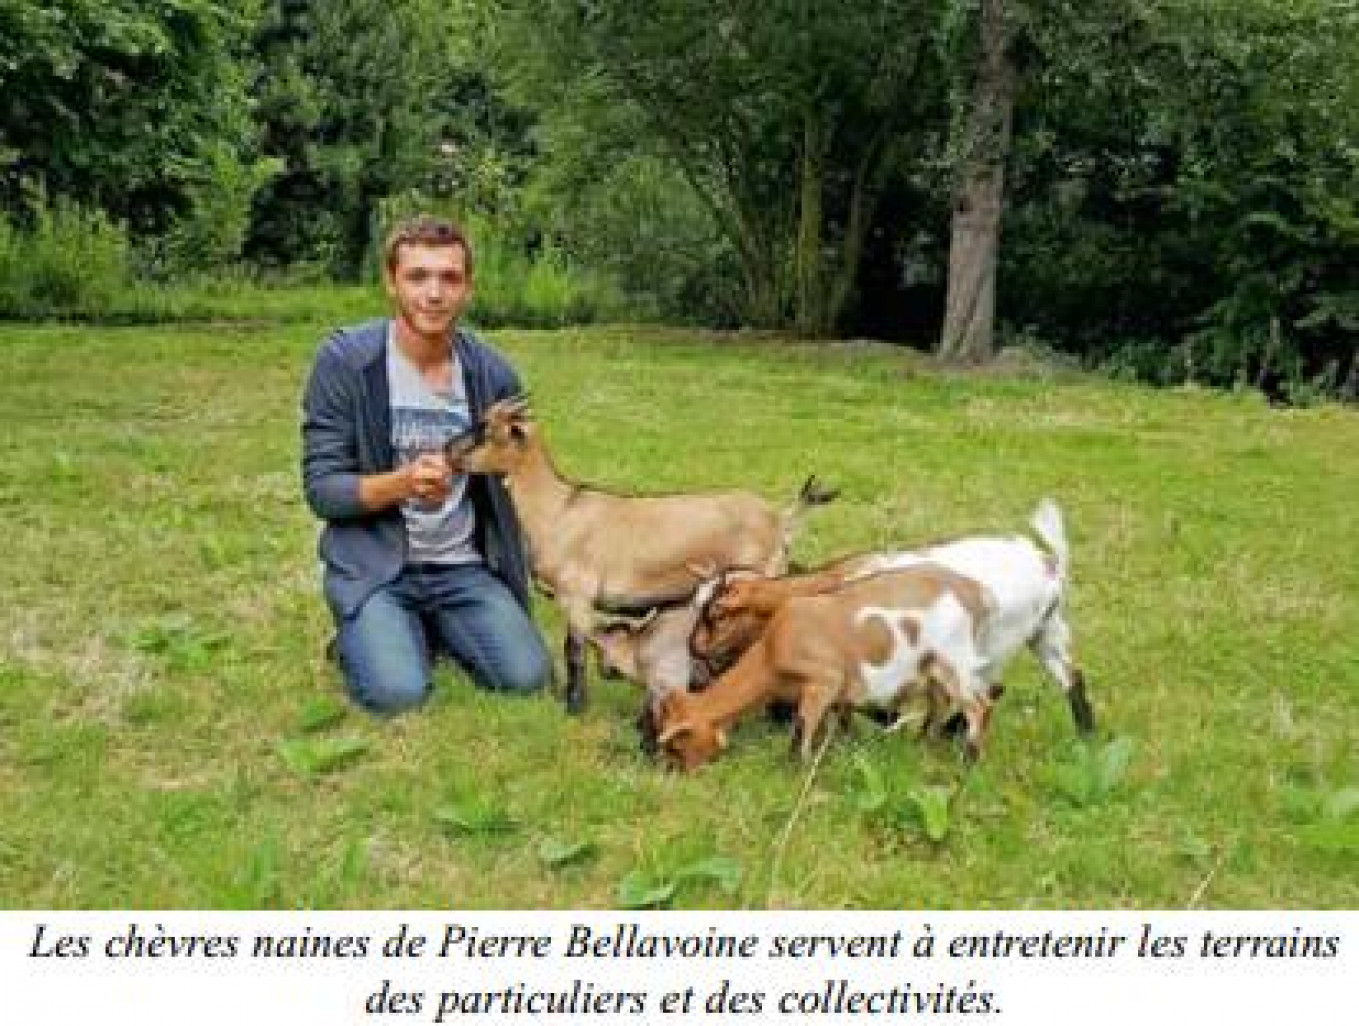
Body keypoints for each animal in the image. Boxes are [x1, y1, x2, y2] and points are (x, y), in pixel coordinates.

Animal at [445, 396, 831, 717]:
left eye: (485, 430)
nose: (448, 451)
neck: (558, 508)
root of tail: (780, 520)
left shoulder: (577, 596)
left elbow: (574, 652)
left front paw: (575, 707)